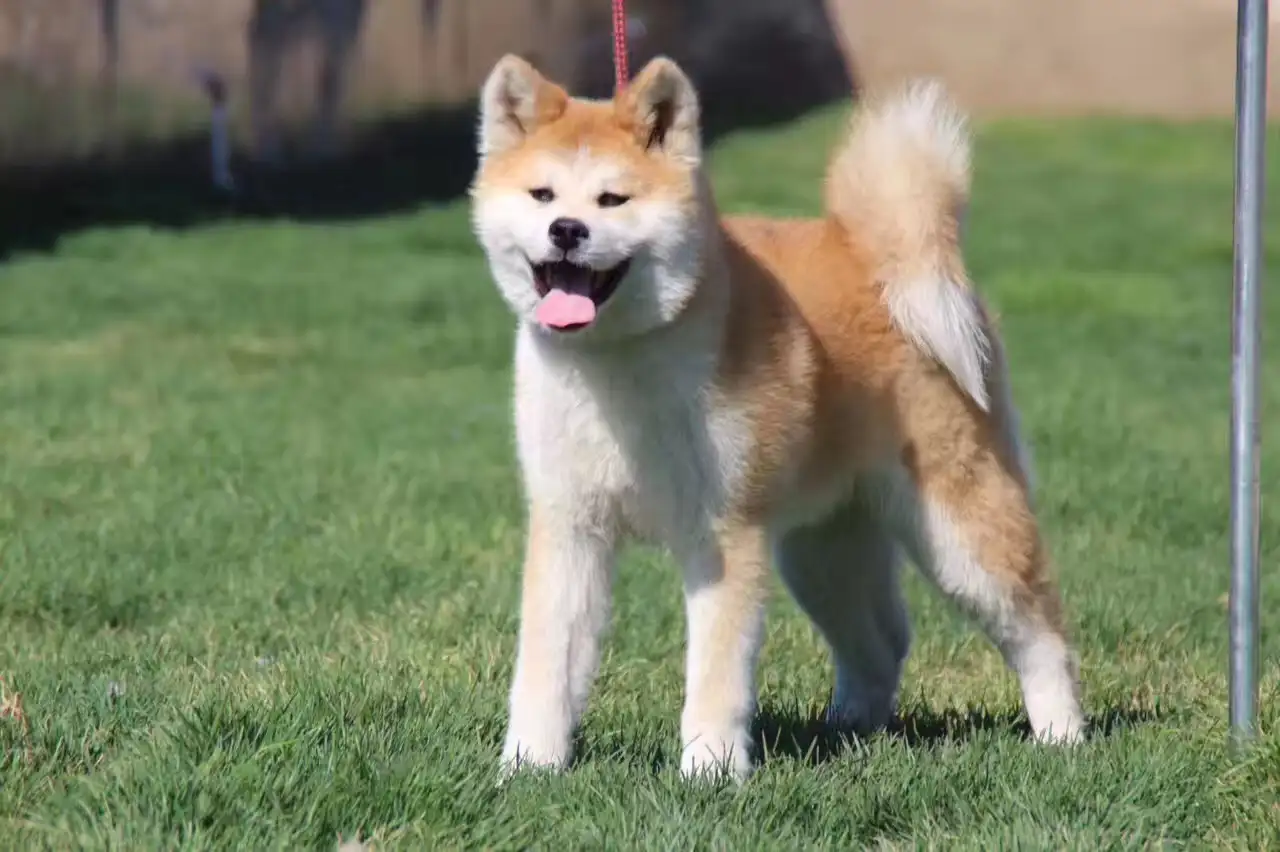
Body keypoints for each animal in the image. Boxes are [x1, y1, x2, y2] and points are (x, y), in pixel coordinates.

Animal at [468, 54, 1080, 782]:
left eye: (612, 200)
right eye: (542, 195)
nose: (567, 230)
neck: (619, 359)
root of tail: (869, 251)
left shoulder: (724, 537)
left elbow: (715, 674)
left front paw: (708, 770)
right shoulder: (570, 527)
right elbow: (546, 667)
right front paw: (529, 766)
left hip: (960, 530)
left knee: (1041, 631)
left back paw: (1062, 734)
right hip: (820, 550)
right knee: (881, 642)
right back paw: (850, 727)